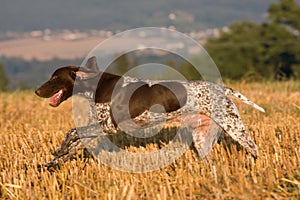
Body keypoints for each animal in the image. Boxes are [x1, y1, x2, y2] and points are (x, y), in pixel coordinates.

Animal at [35, 55, 264, 167]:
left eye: (54, 78)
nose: (37, 91)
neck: (95, 86)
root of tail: (221, 88)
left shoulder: (107, 126)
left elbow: (71, 132)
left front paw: (60, 149)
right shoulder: (97, 128)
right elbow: (70, 146)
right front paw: (51, 161)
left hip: (235, 127)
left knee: (255, 149)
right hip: (202, 138)